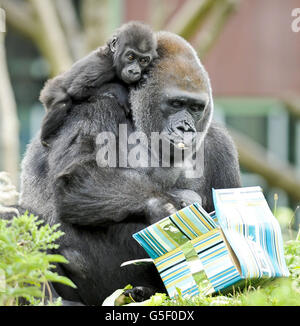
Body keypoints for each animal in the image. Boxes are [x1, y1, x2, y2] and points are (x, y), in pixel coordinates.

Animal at [19, 31, 241, 304]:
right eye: (176, 103)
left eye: (195, 107)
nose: (185, 128)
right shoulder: (99, 105)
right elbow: (78, 176)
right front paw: (164, 207)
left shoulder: (221, 145)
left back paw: (140, 292)